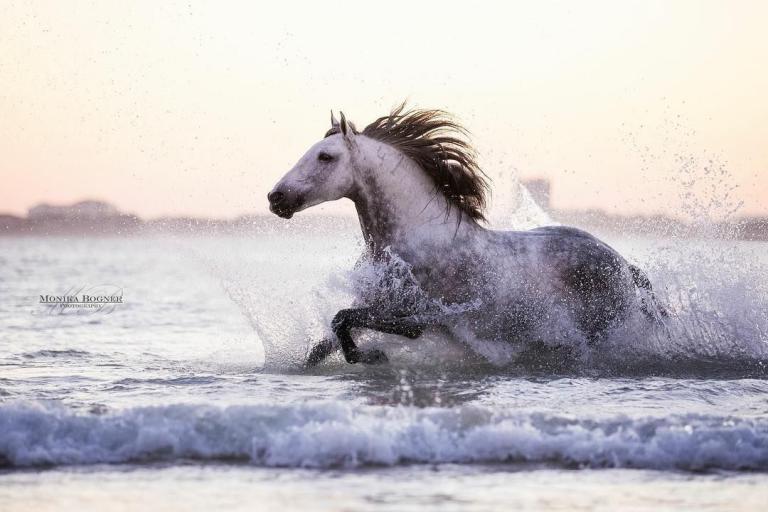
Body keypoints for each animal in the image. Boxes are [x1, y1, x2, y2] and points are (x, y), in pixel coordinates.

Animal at [267, 104, 666, 367]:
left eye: (326, 157)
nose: (276, 197)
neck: (418, 240)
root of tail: (622, 264)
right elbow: (325, 341)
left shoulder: (419, 316)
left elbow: (344, 318)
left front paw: (371, 356)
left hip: (600, 332)